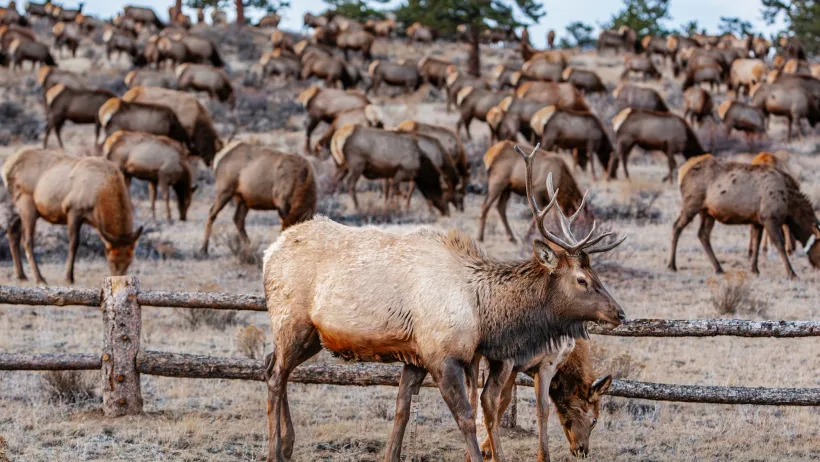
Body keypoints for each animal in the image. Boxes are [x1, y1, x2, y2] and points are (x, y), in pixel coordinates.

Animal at [2, 148, 143, 285]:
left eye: (129, 261)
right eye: (112, 261)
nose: (120, 279)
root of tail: (5, 168)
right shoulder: (73, 209)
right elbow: (74, 243)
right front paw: (69, 277)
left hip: (23, 209)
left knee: (12, 230)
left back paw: (21, 275)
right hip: (26, 202)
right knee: (27, 240)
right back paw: (39, 278)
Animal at [261, 142, 627, 462]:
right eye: (582, 279)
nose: (619, 313)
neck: (483, 312)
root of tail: (269, 252)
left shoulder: (416, 355)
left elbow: (402, 411)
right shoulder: (442, 355)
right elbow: (466, 415)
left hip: (313, 335)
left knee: (271, 365)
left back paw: (289, 445)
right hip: (291, 320)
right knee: (276, 375)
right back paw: (275, 450)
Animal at [669, 154, 820, 279]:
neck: (790, 206)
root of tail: (682, 174)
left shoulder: (758, 221)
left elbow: (756, 244)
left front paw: (755, 269)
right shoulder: (769, 218)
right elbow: (779, 245)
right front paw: (792, 273)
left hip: (707, 212)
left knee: (703, 234)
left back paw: (719, 268)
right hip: (691, 204)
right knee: (676, 226)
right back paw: (672, 265)